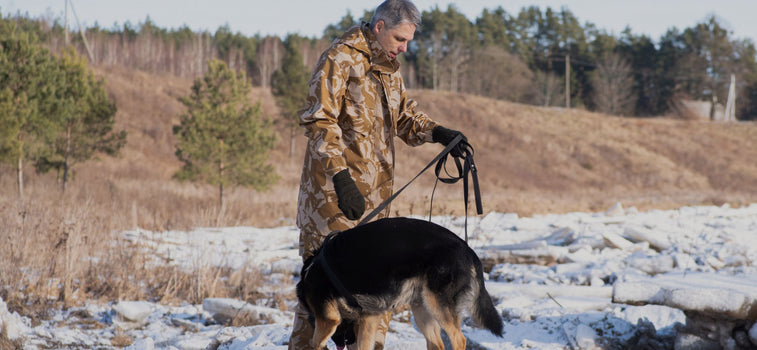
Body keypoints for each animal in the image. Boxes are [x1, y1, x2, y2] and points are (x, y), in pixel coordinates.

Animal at [296, 217, 502, 348]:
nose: (343, 342)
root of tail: (468, 249)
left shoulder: (327, 319)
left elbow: (316, 342)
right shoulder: (369, 317)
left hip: (438, 305)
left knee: (459, 339)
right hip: (422, 310)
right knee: (437, 343)